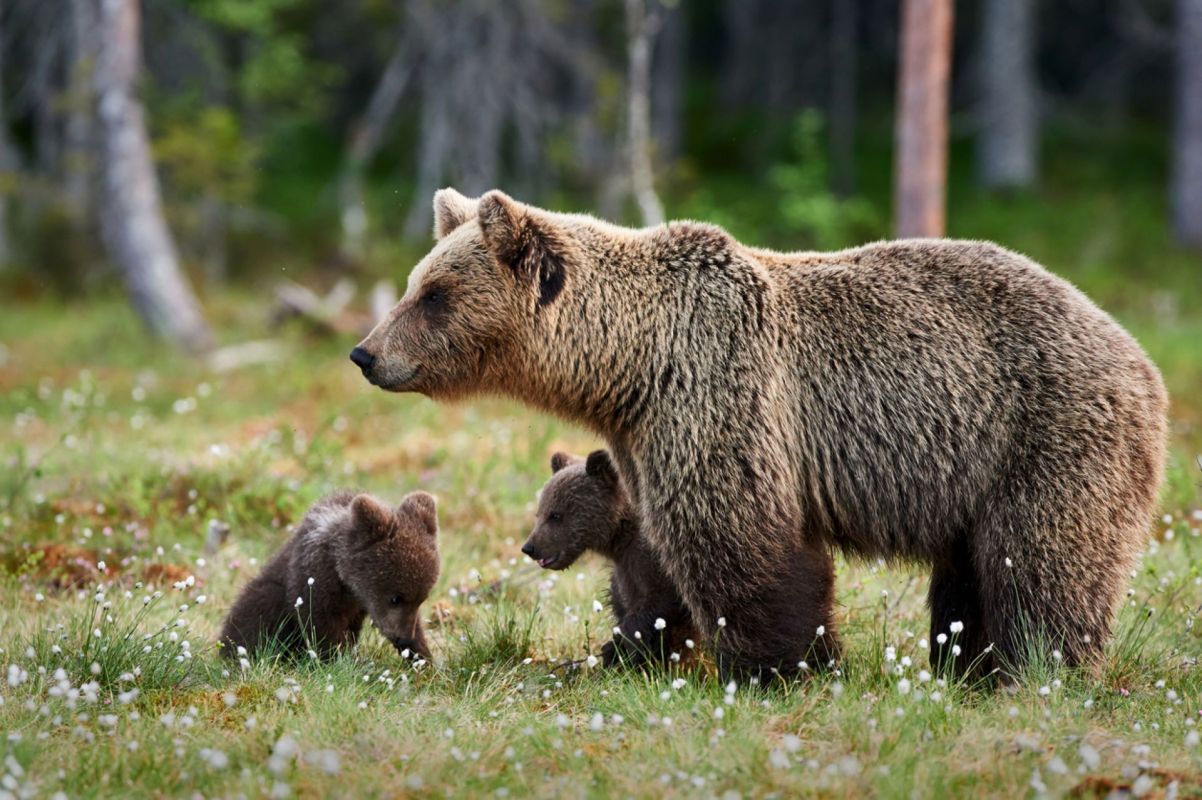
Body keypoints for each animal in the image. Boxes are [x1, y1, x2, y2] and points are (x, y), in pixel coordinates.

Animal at [221, 490, 442, 658]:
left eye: (421, 599)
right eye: (395, 598)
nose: (404, 638)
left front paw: (423, 658)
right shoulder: (314, 580)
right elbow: (321, 625)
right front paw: (338, 660)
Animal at [524, 449, 697, 667]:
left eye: (555, 515)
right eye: (539, 513)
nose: (529, 547)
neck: (620, 536)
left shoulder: (657, 562)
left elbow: (658, 602)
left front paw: (629, 651)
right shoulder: (626, 570)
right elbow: (622, 602)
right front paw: (614, 651)